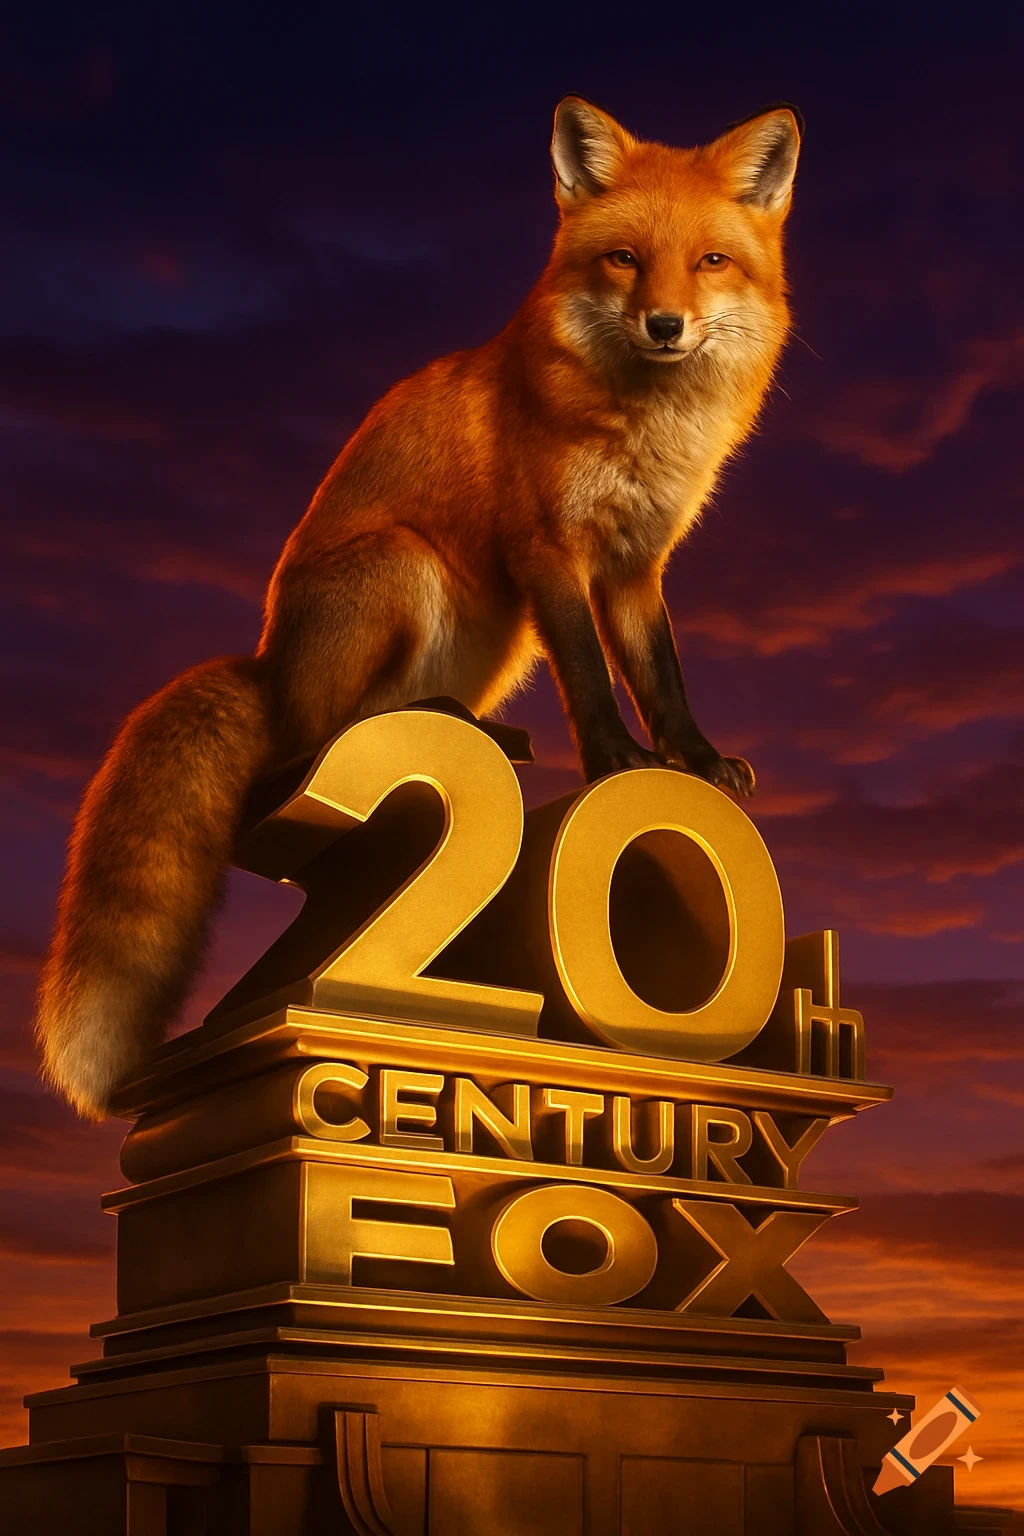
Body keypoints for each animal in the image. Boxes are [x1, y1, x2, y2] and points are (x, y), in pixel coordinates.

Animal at [37, 96, 802, 1119]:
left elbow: (662, 678)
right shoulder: (546, 548)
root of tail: (266, 665)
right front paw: (615, 761)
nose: (667, 323)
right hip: (408, 569)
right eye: (624, 259)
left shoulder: (638, 567)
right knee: (320, 736)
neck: (644, 422)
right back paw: (438, 725)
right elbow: (590, 677)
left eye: (710, 260)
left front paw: (697, 760)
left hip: (494, 632)